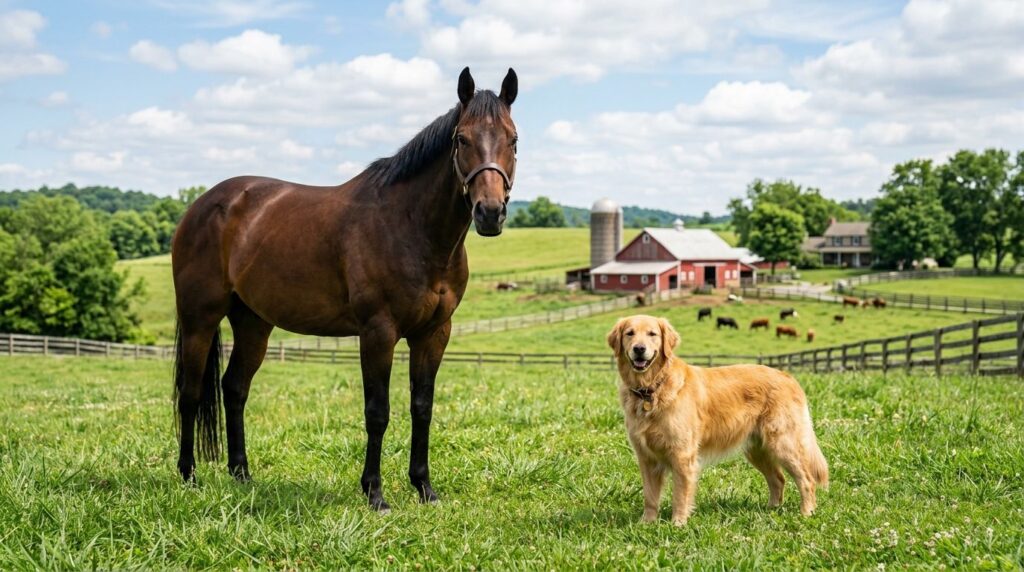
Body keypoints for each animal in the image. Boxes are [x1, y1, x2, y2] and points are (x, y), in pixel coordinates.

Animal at [171, 67, 518, 513]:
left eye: (513, 139)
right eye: (462, 139)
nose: (490, 213)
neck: (410, 227)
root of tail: (202, 205)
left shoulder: (435, 333)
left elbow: (422, 407)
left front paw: (424, 488)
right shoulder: (378, 332)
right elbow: (378, 411)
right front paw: (375, 493)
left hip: (253, 323)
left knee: (234, 388)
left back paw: (242, 474)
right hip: (200, 319)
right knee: (191, 393)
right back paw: (188, 476)